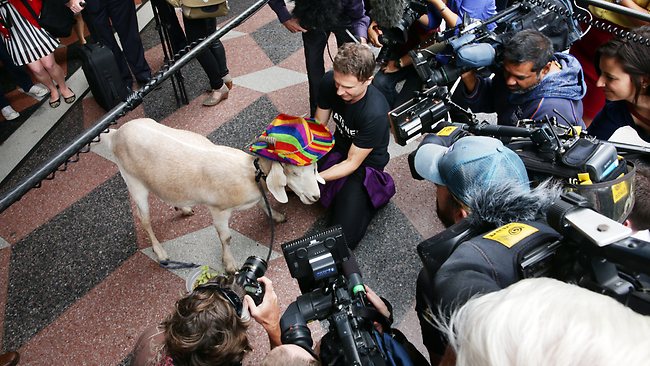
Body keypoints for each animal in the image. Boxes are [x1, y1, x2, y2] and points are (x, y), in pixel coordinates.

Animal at [104, 118, 324, 274]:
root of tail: (115, 134)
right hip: (133, 181)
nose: (315, 196)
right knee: (144, 219)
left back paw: (183, 208)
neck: (249, 173)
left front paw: (277, 216)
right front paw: (230, 264)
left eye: (313, 168)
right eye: (292, 172)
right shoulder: (218, 210)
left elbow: (263, 202)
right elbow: (225, 237)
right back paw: (160, 252)